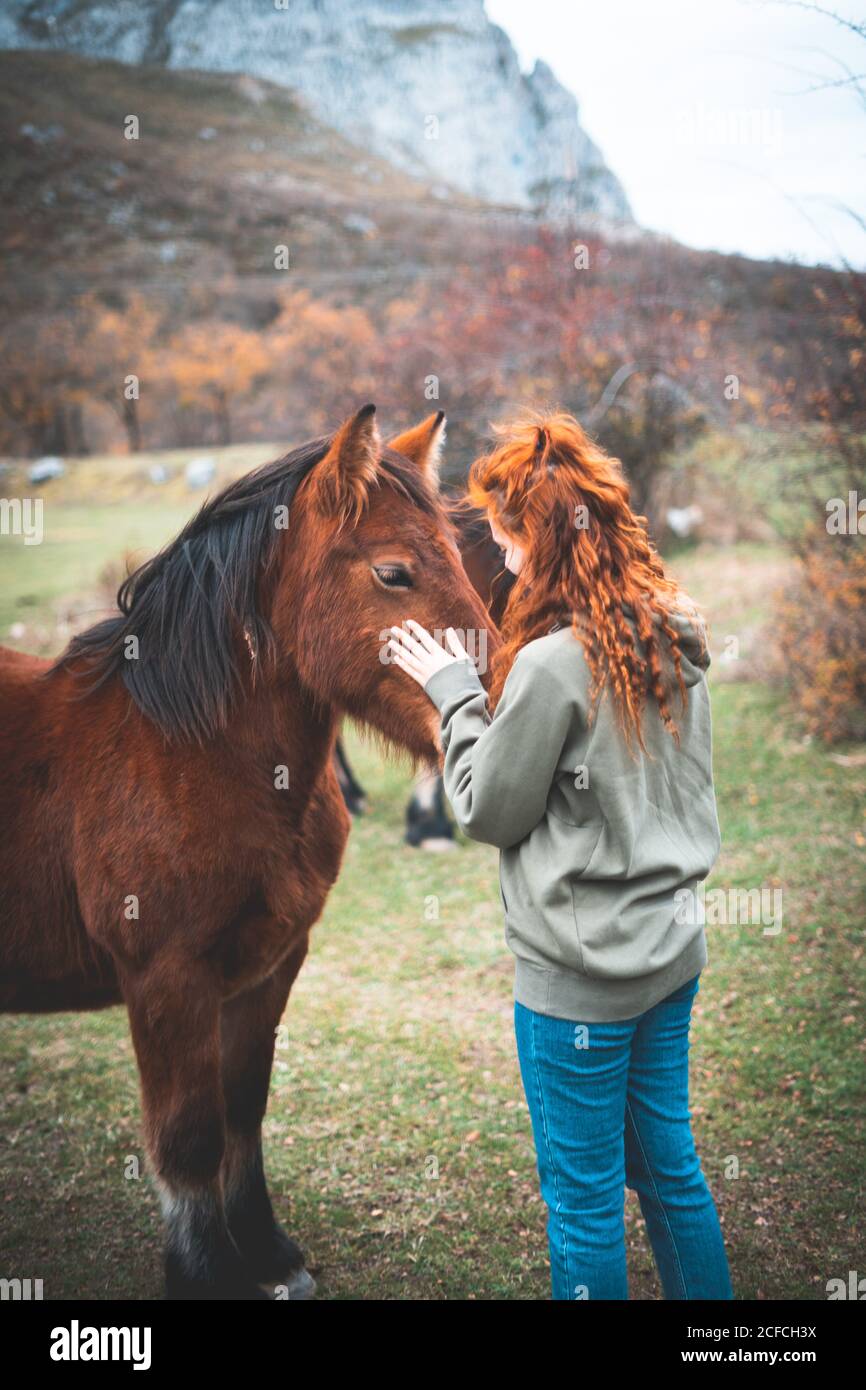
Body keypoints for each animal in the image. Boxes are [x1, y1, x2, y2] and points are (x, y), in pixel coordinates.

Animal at [0, 406, 496, 1300]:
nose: (497, 697)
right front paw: (207, 1273)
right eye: (396, 573)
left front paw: (266, 1251)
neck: (192, 752)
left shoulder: (267, 967)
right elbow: (190, 1137)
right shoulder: (168, 979)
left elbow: (244, 1110)